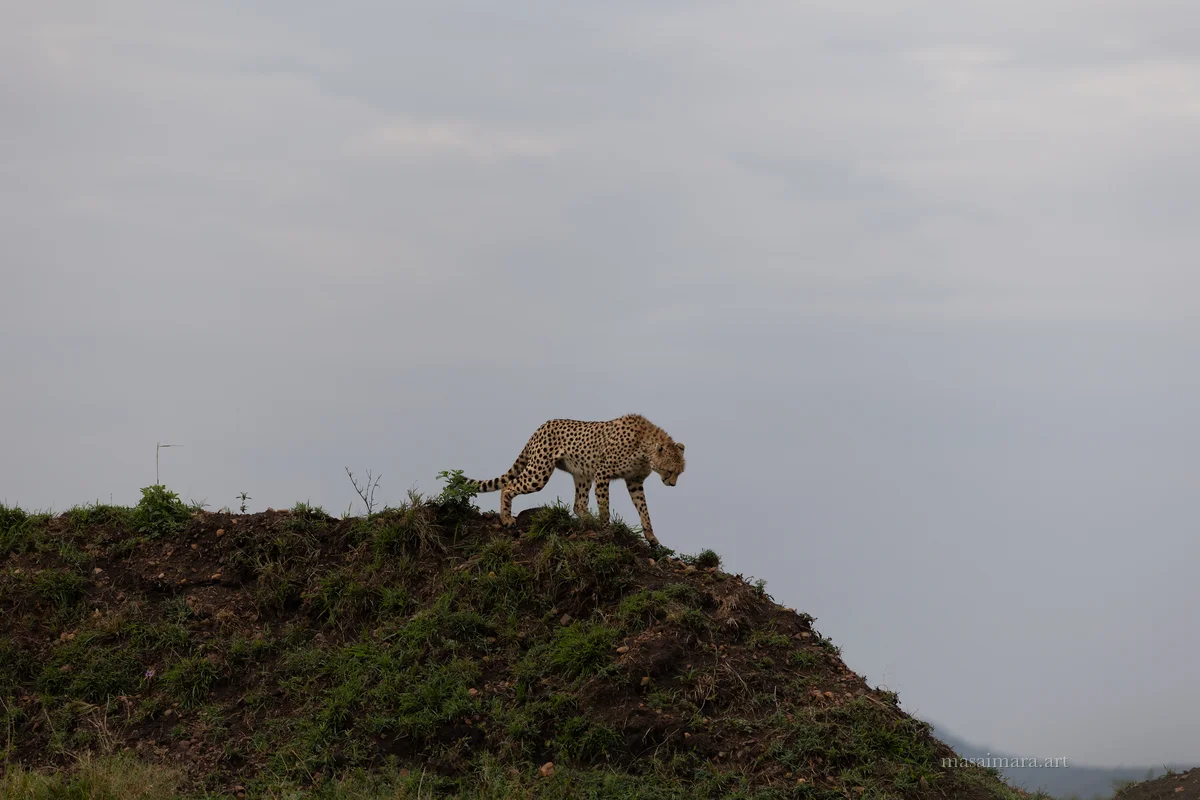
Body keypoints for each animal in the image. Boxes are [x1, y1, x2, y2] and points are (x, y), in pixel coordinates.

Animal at [467, 414, 686, 545]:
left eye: (679, 473)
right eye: (669, 471)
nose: (672, 484)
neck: (645, 447)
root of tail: (543, 425)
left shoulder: (634, 482)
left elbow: (643, 509)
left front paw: (651, 536)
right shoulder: (603, 473)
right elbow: (605, 506)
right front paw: (606, 530)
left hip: (582, 474)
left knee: (578, 504)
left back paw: (588, 521)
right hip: (540, 472)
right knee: (509, 486)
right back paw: (506, 518)